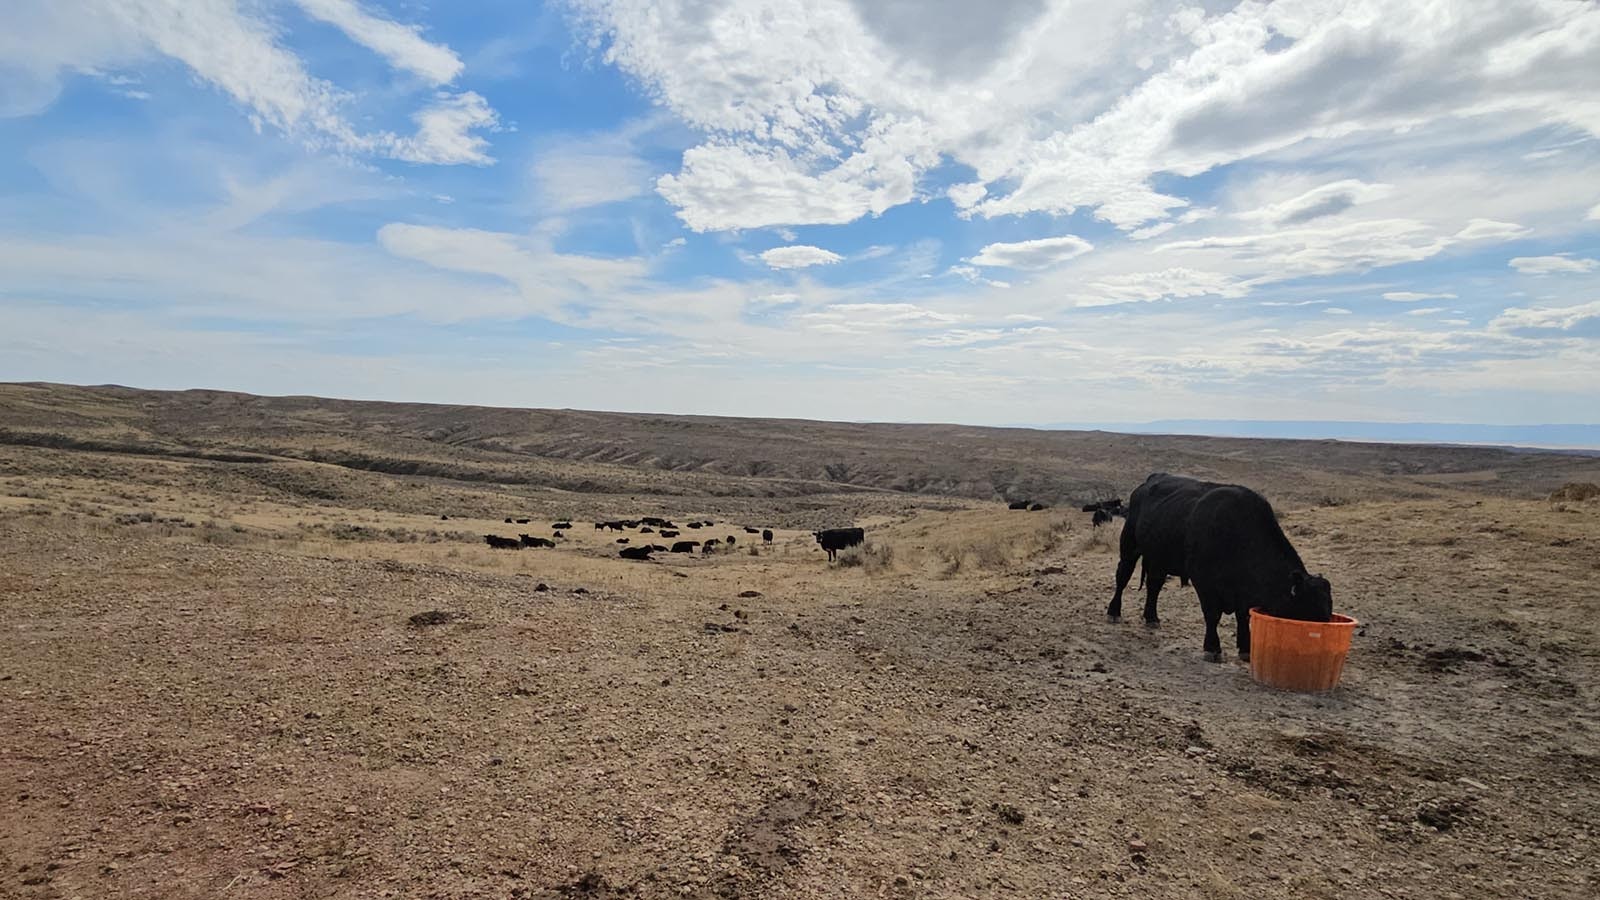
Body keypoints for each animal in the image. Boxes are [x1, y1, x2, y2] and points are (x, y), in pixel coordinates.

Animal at [1107, 470, 1331, 659]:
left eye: (1327, 612)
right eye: (1310, 613)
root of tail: (1150, 480)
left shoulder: (1243, 594)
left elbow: (1243, 617)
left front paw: (1245, 649)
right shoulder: (1204, 582)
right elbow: (1212, 615)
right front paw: (1212, 648)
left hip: (1159, 559)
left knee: (1154, 586)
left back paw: (1152, 617)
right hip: (1130, 548)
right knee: (1122, 577)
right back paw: (1114, 612)